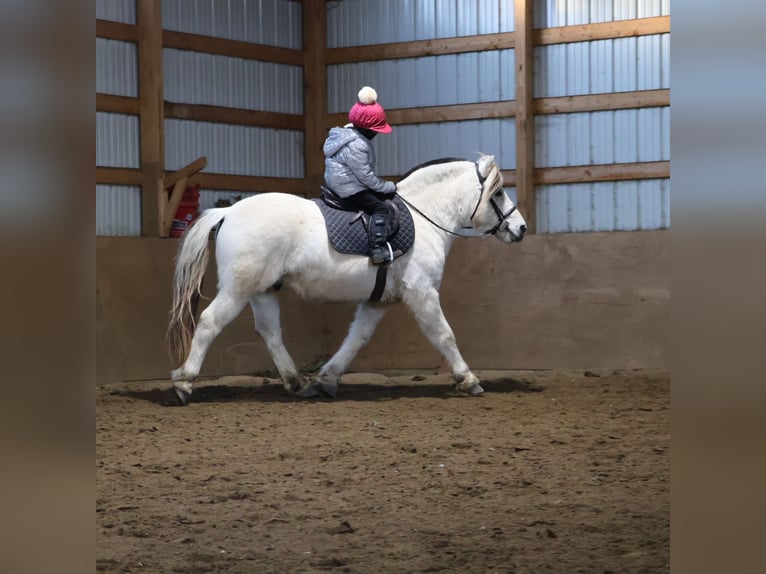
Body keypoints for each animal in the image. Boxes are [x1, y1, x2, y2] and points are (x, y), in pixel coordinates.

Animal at [167, 154, 527, 405]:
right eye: (498, 193)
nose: (520, 228)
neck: (425, 216)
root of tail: (228, 212)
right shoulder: (422, 292)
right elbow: (445, 335)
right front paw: (468, 379)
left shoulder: (378, 301)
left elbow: (357, 339)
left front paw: (327, 378)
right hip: (238, 289)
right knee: (210, 323)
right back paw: (184, 382)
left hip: (263, 290)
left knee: (269, 332)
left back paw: (298, 383)